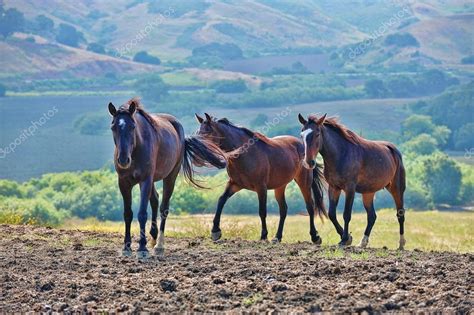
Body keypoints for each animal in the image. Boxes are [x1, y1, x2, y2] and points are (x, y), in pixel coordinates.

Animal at [108, 99, 227, 260]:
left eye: (132, 127)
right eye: (113, 127)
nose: (123, 159)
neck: (136, 148)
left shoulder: (145, 180)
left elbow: (142, 214)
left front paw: (142, 248)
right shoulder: (124, 182)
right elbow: (128, 214)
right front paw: (126, 247)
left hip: (170, 177)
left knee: (163, 207)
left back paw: (159, 245)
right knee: (155, 199)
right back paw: (153, 237)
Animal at [195, 113, 326, 244]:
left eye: (207, 133)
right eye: (198, 133)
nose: (197, 156)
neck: (245, 154)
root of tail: (303, 147)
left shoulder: (261, 187)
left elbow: (262, 211)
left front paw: (263, 236)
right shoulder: (235, 184)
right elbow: (221, 200)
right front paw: (215, 231)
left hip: (304, 182)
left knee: (310, 207)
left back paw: (315, 237)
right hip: (280, 186)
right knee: (283, 209)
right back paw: (277, 237)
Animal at [298, 113, 406, 249]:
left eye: (317, 134)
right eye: (302, 135)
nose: (308, 162)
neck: (341, 154)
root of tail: (393, 150)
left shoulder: (350, 189)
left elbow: (346, 214)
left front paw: (344, 239)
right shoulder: (334, 187)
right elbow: (332, 213)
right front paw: (347, 238)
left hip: (397, 189)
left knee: (400, 214)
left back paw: (401, 244)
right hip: (368, 192)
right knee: (372, 216)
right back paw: (362, 243)